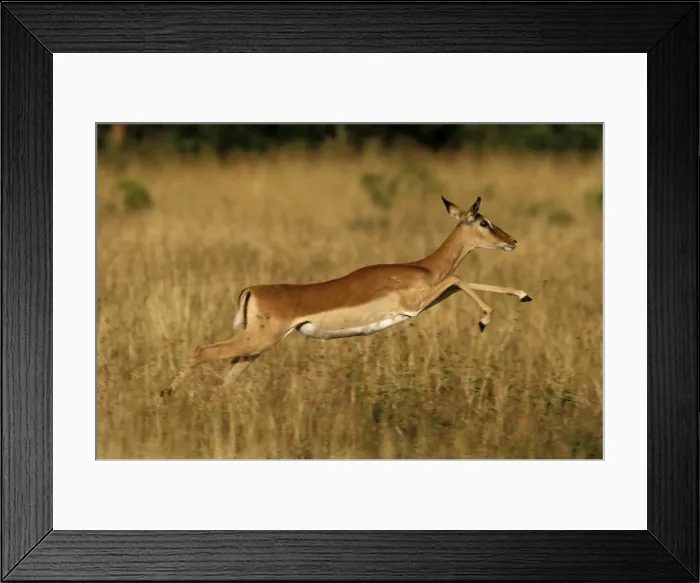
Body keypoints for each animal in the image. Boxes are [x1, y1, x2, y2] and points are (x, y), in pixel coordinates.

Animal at [163, 196, 531, 396]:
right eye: (483, 221)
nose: (512, 241)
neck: (422, 267)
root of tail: (251, 290)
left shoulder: (428, 298)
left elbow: (459, 282)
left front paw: (524, 294)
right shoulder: (415, 304)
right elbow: (458, 277)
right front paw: (484, 320)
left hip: (256, 347)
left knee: (226, 376)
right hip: (257, 341)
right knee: (203, 351)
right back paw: (166, 394)